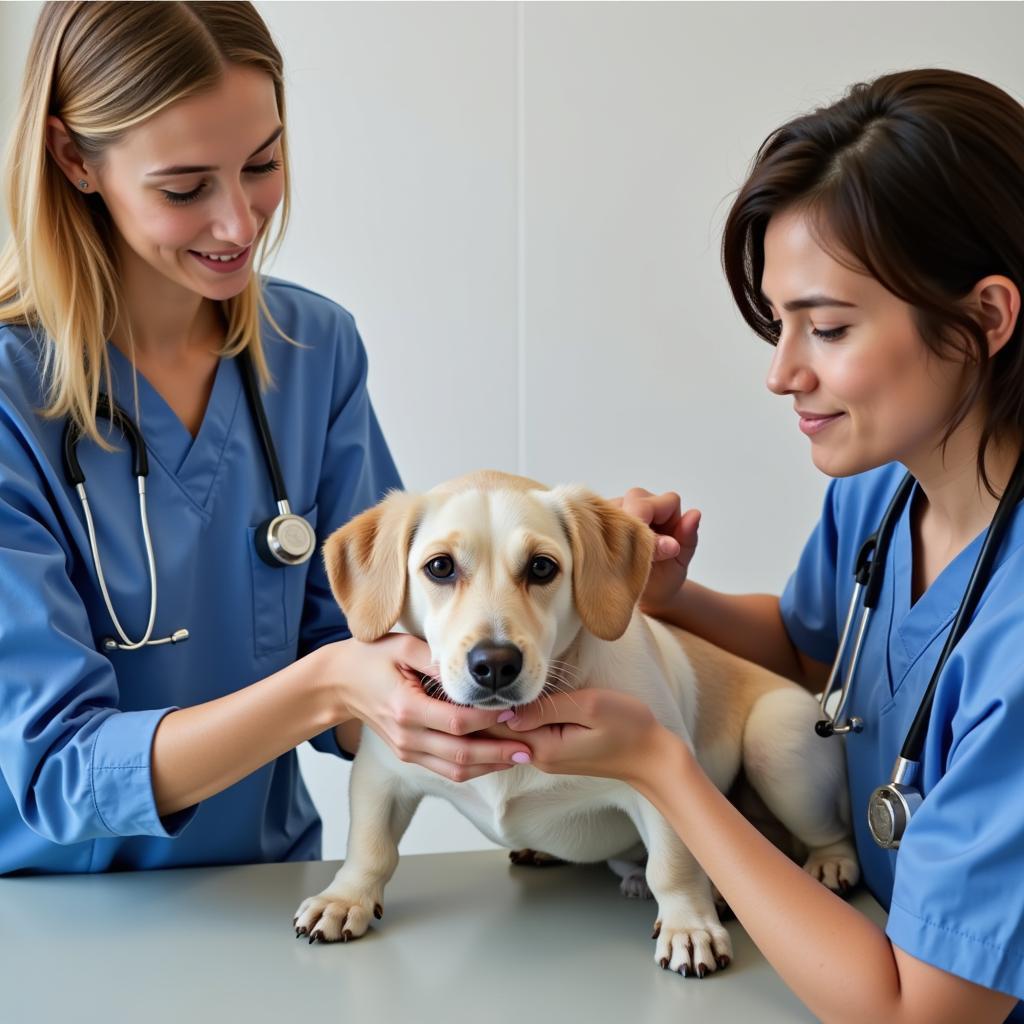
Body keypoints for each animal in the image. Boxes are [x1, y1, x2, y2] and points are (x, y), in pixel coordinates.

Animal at [292, 471, 860, 974]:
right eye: (440, 567)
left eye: (542, 568)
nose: (494, 663)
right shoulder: (380, 773)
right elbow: (370, 848)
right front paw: (344, 898)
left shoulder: (667, 784)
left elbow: (673, 865)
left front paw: (689, 927)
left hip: (778, 743)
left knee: (829, 832)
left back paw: (826, 866)